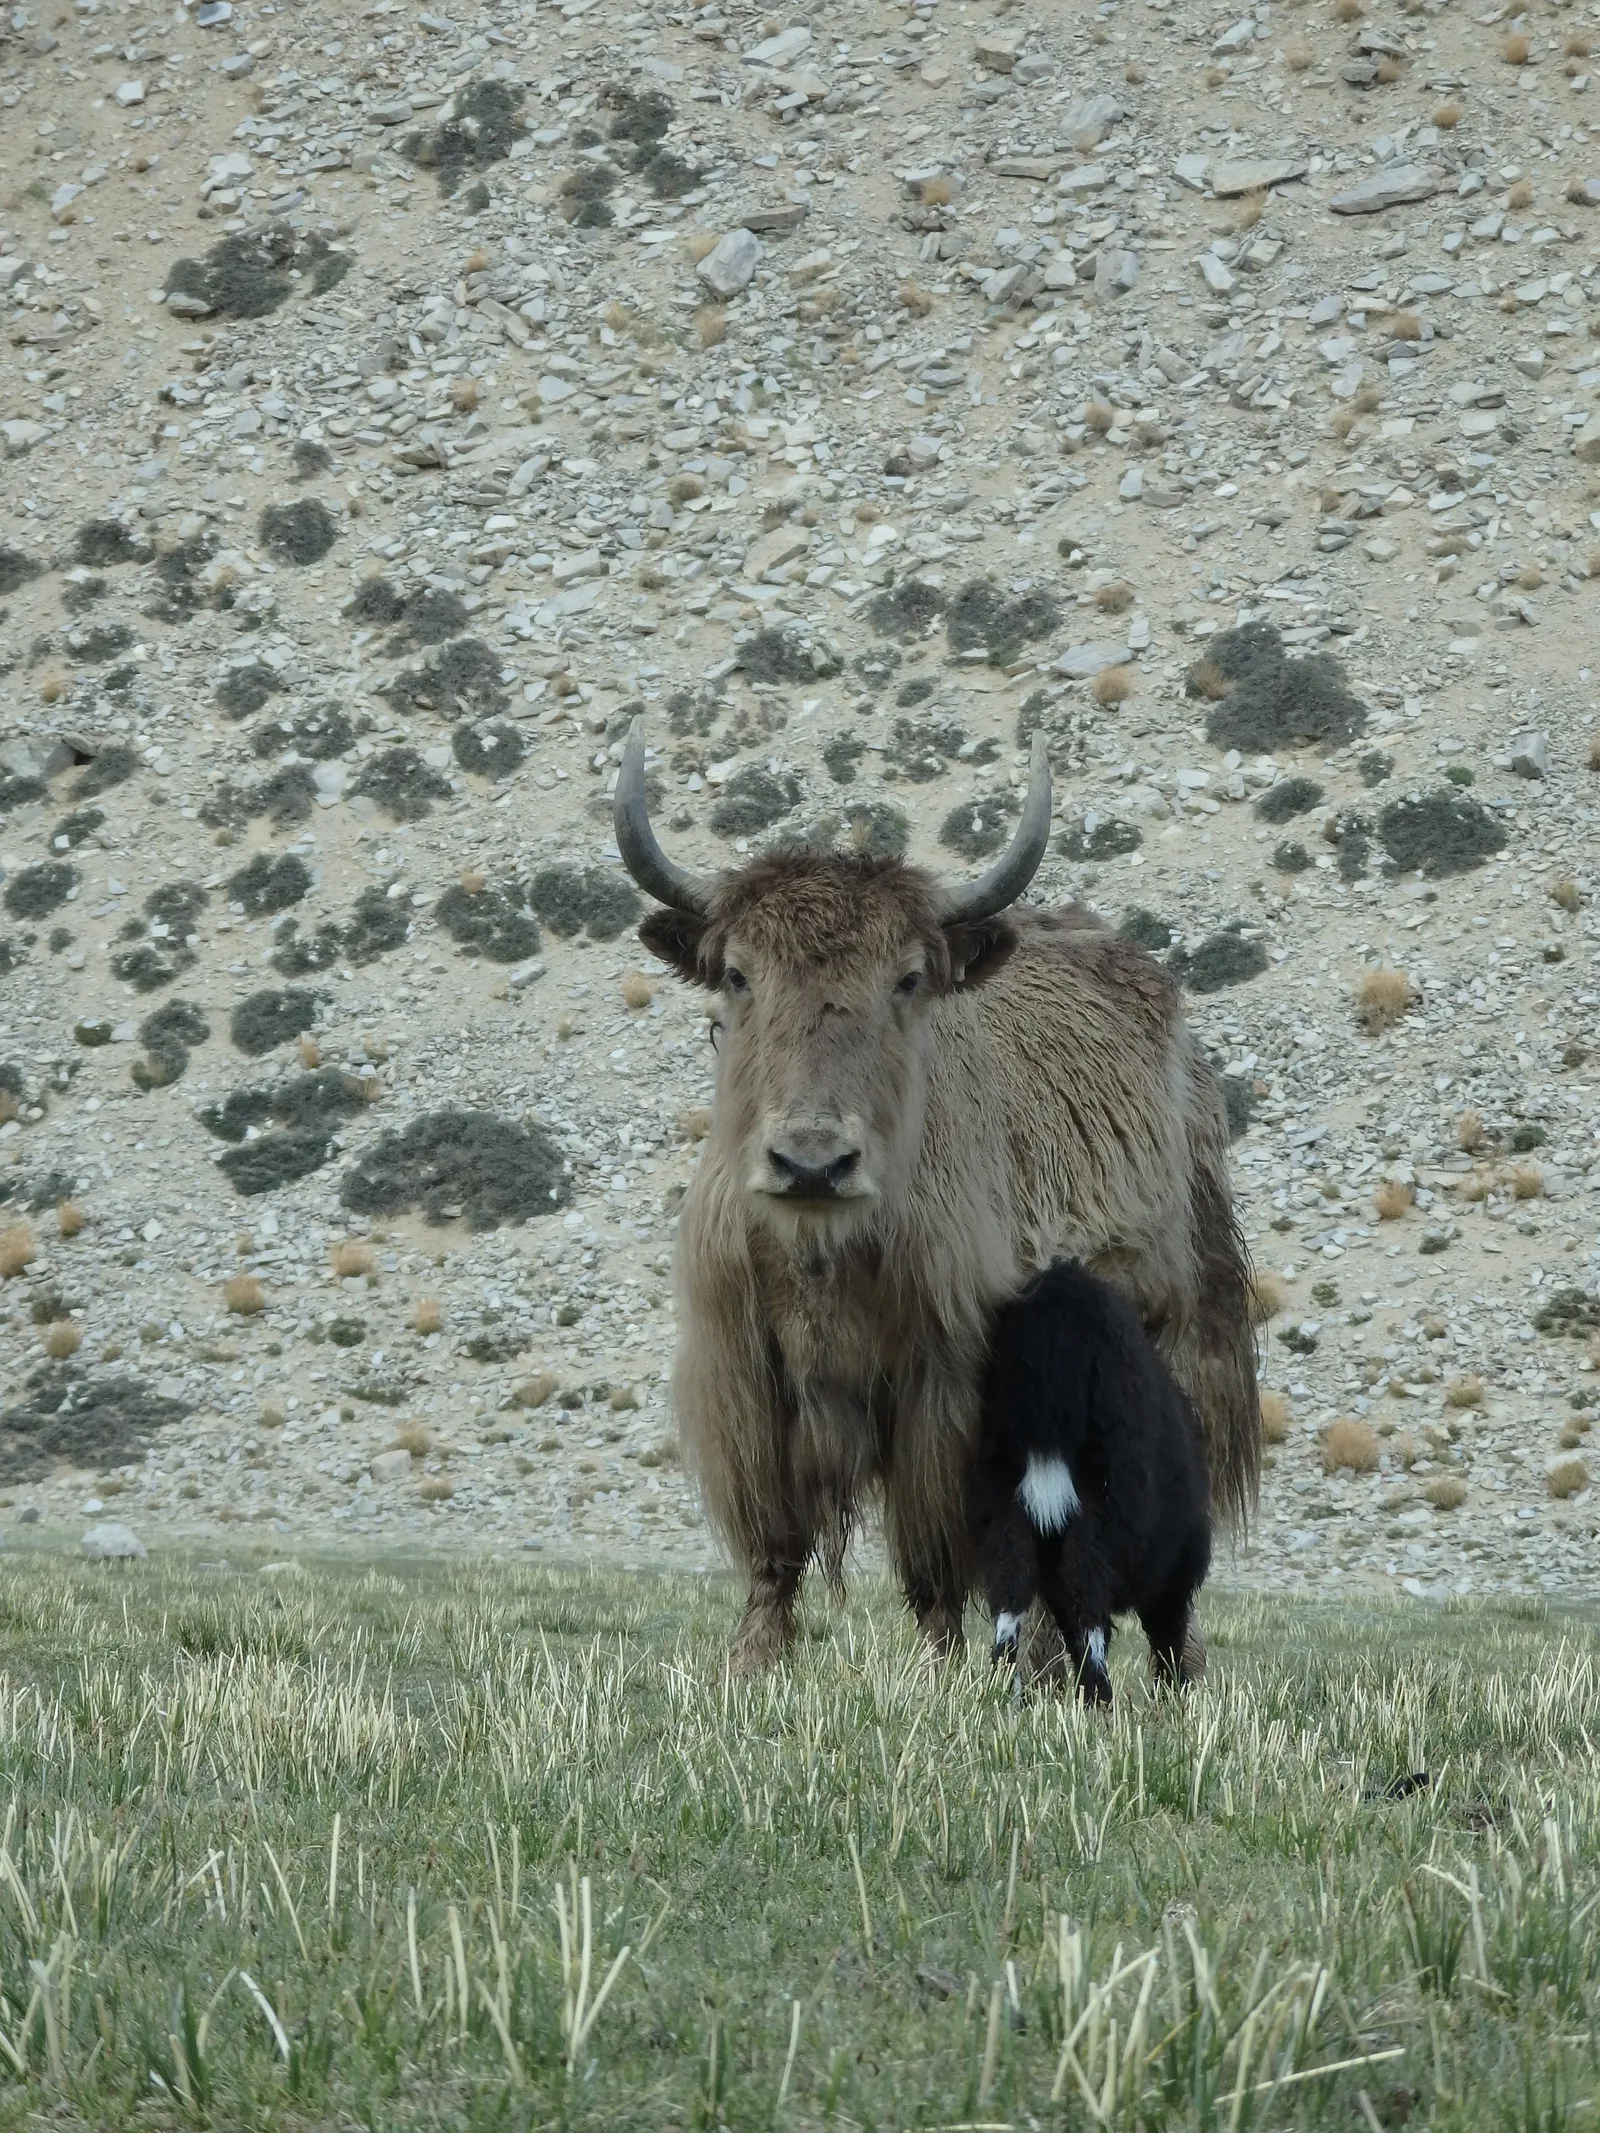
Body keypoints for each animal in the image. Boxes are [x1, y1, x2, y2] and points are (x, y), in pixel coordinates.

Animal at [969, 1259, 1211, 1706]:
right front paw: (1173, 1694)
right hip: (1103, 1516)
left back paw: (1004, 1692)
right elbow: (1166, 1633)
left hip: (1005, 1511)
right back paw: (1101, 1699)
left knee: (1010, 1606)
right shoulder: (1174, 1570)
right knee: (1091, 1608)